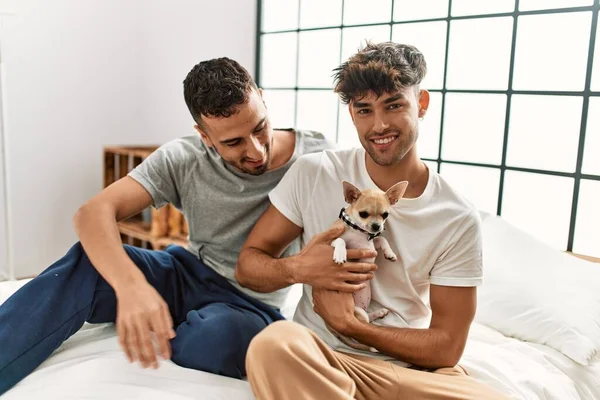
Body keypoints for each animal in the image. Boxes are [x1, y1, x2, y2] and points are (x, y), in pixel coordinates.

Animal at [328, 180, 408, 352]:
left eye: (385, 215)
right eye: (363, 214)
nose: (377, 226)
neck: (361, 233)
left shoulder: (372, 245)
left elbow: (382, 240)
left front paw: (390, 253)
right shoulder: (330, 241)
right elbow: (341, 240)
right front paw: (341, 255)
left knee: (366, 324)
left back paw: (379, 313)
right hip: (356, 313)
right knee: (362, 327)